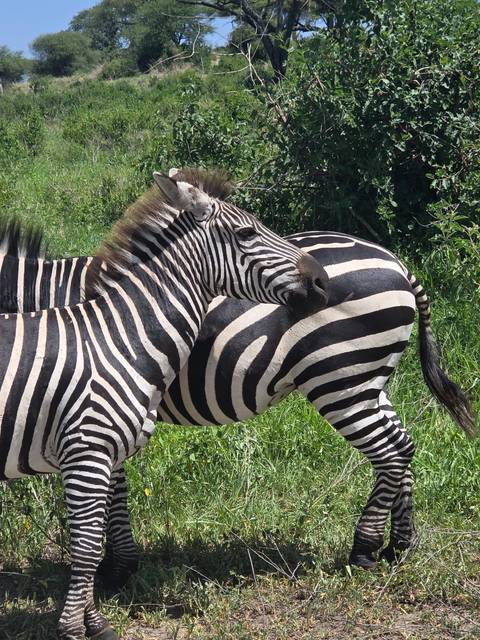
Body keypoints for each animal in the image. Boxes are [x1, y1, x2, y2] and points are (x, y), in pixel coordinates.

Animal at [0, 168, 475, 589]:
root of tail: (398, 264)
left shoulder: (94, 403)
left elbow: (112, 490)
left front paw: (116, 571)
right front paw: (117, 566)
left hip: (341, 379)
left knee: (389, 452)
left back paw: (364, 548)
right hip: (369, 380)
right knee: (403, 444)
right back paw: (399, 545)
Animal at [0, 170, 327, 640]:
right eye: (246, 233)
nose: (323, 281)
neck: (119, 338)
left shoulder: (101, 453)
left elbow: (96, 536)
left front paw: (95, 620)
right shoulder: (88, 451)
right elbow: (86, 546)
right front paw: (76, 628)